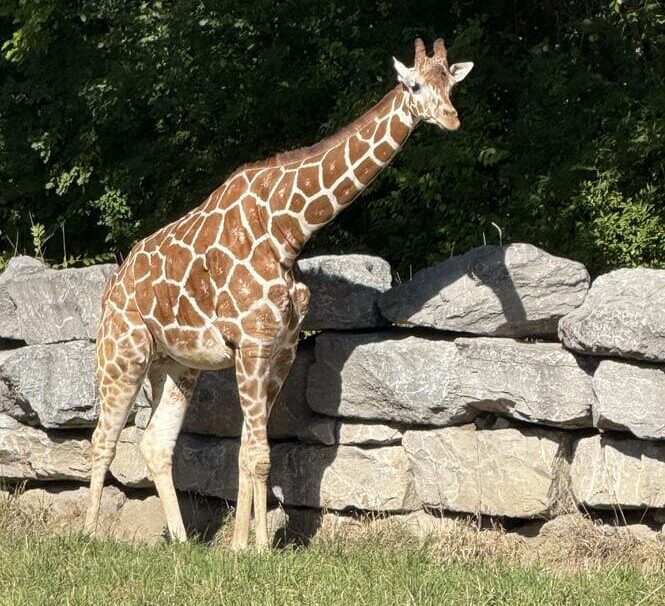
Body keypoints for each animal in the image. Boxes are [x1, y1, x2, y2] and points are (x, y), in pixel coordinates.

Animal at [85, 38, 473, 549]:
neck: (288, 230)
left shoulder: (281, 348)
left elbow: (251, 451)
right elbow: (256, 454)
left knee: (155, 442)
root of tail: (113, 284)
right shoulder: (251, 344)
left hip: (177, 364)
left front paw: (246, 546)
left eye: (450, 84)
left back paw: (184, 543)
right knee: (103, 438)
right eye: (413, 85)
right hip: (123, 352)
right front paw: (255, 549)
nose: (451, 118)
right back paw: (87, 536)